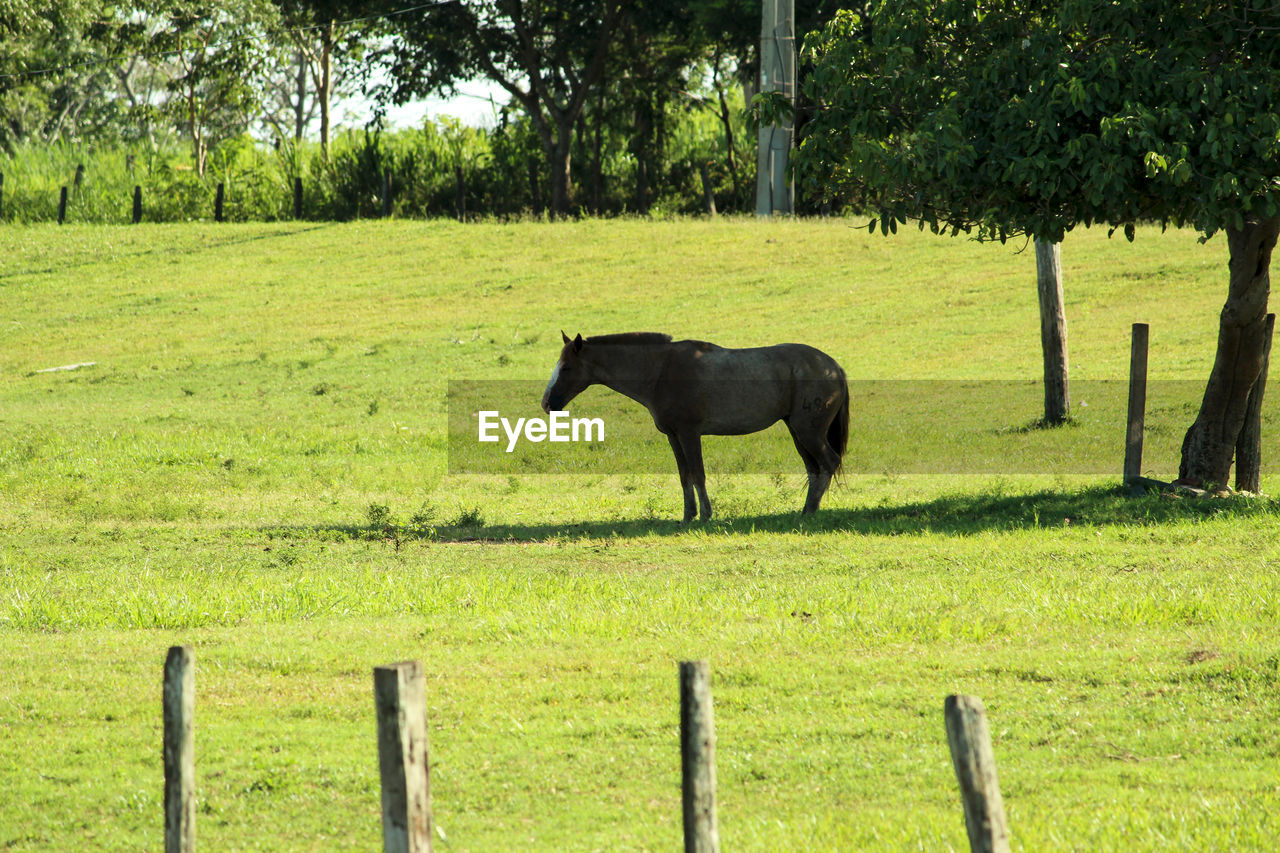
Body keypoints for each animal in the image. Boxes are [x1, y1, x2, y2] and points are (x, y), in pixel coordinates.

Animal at [540, 330, 849, 517]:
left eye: (566, 367)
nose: (546, 403)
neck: (661, 370)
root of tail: (833, 367)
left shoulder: (690, 434)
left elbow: (698, 474)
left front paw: (706, 514)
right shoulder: (673, 436)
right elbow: (684, 476)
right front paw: (689, 515)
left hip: (809, 432)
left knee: (828, 463)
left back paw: (810, 512)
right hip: (797, 432)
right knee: (814, 469)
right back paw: (807, 509)